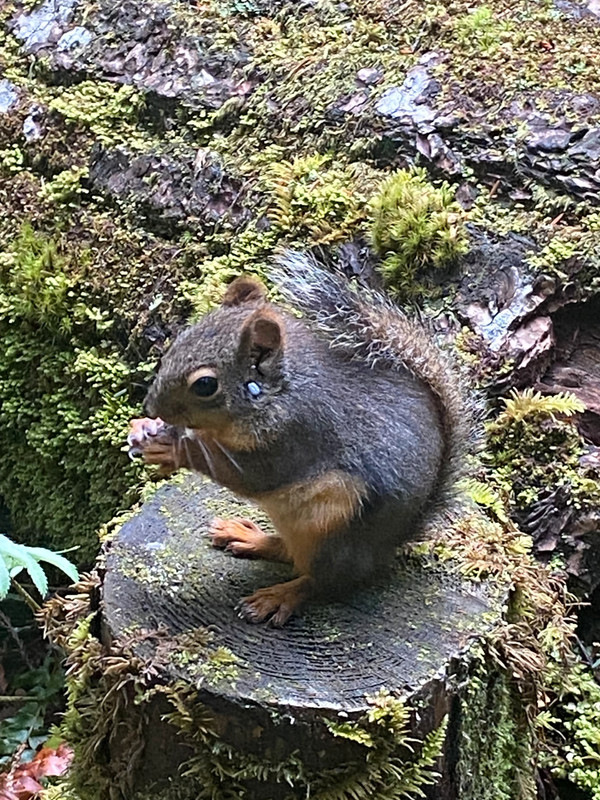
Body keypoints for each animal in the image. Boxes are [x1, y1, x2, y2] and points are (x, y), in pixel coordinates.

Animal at [126, 253, 474, 628]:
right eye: (179, 342)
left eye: (205, 385)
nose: (150, 406)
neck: (279, 390)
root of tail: (388, 547)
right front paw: (145, 427)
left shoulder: (294, 436)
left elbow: (248, 473)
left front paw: (173, 449)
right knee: (290, 552)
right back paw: (249, 537)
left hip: (334, 530)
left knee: (323, 580)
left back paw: (280, 596)